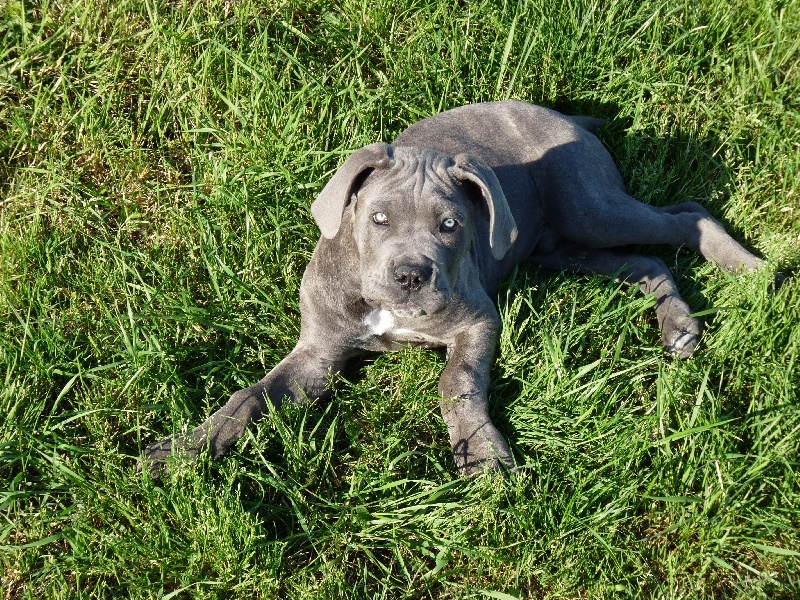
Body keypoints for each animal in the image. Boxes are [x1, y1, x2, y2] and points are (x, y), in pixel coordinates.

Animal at [141, 104, 764, 478]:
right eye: (379, 218)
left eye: (450, 224)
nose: (412, 275)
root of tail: (565, 117)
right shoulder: (317, 354)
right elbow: (250, 396)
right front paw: (187, 447)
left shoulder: (478, 323)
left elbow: (456, 383)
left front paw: (482, 453)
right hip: (564, 247)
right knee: (647, 259)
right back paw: (679, 325)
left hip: (590, 209)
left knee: (686, 216)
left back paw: (751, 270)